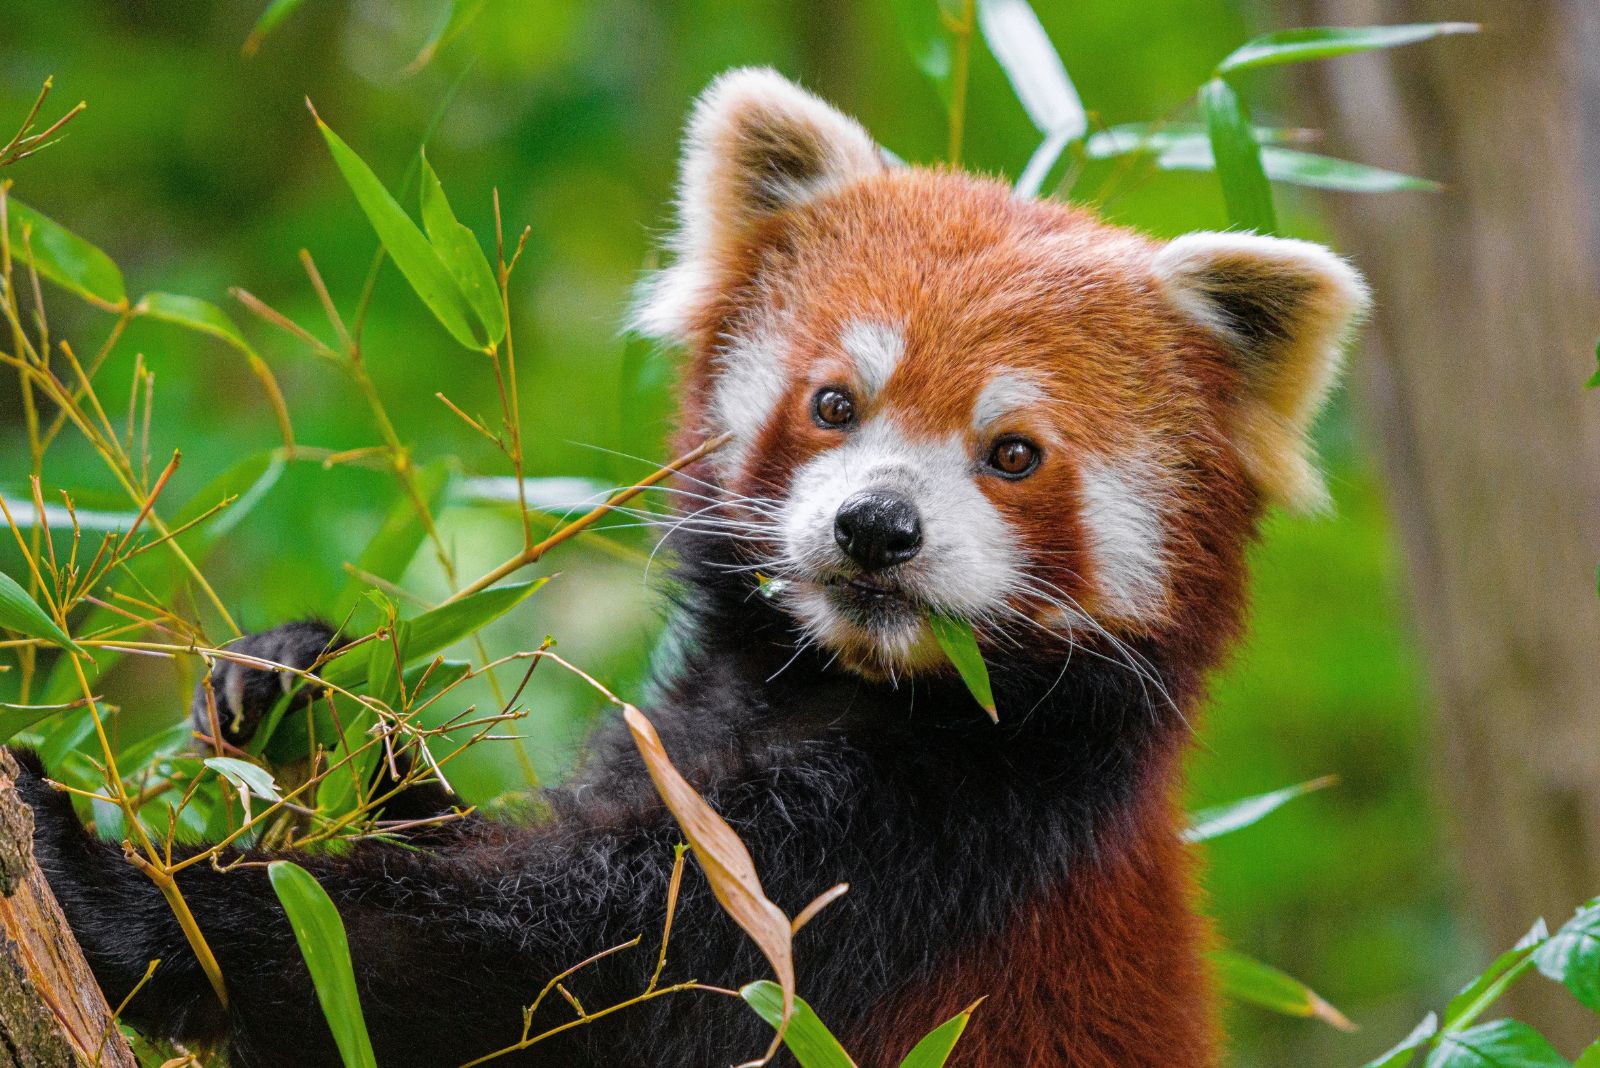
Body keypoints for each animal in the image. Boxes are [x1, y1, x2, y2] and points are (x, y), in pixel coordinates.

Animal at [12, 68, 1363, 1068]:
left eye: (1013, 453)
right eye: (834, 402)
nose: (878, 528)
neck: (843, 688)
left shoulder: (919, 856)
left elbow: (527, 975)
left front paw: (121, 890)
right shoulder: (683, 742)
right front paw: (303, 686)